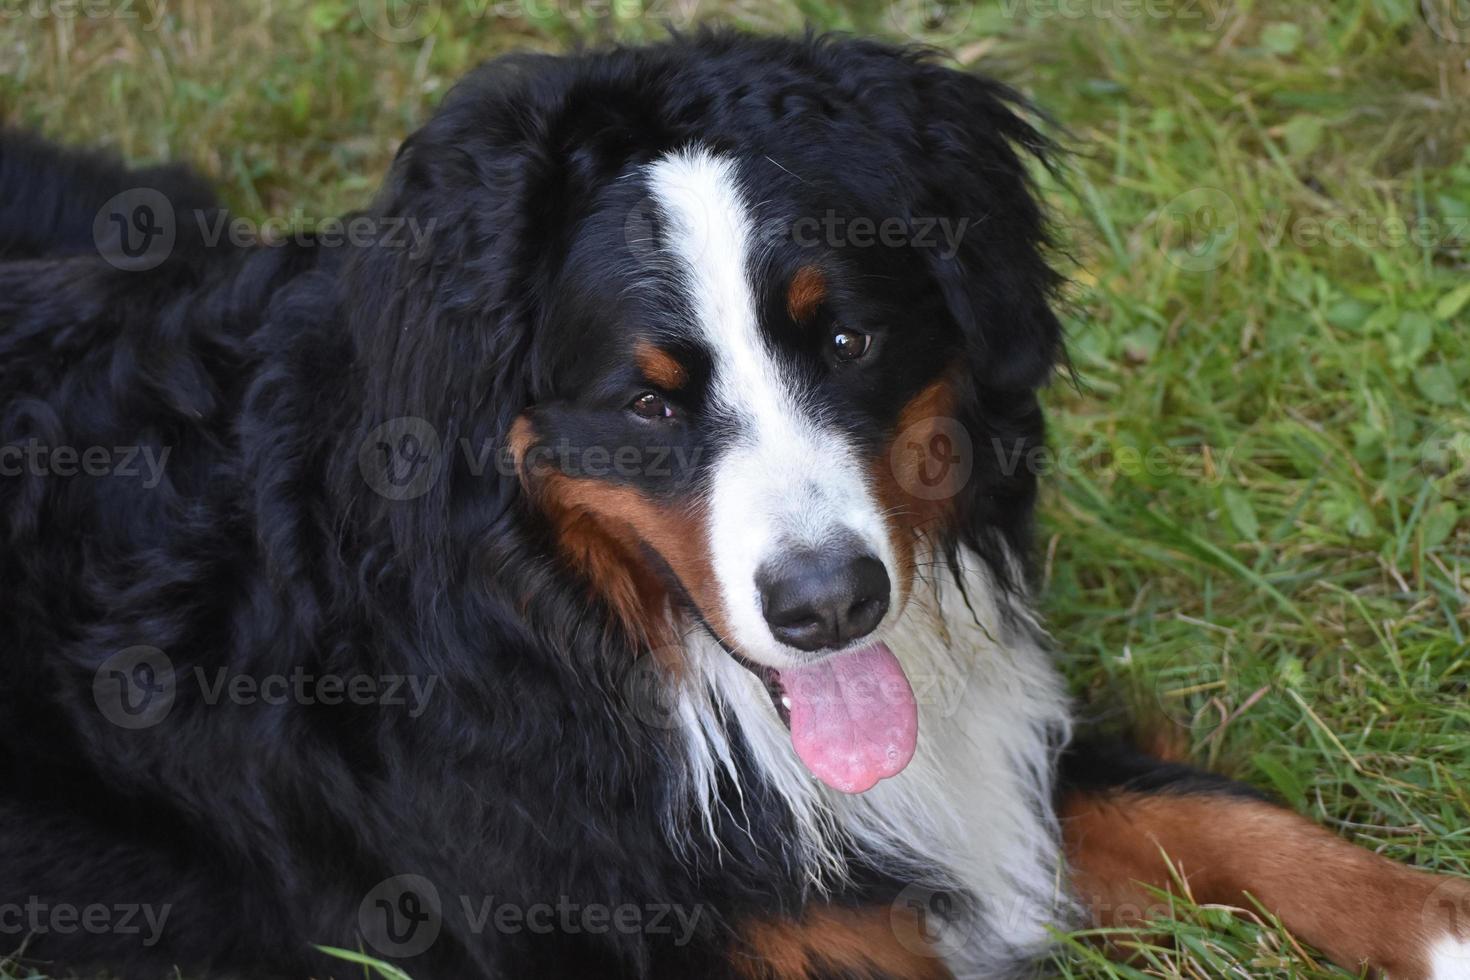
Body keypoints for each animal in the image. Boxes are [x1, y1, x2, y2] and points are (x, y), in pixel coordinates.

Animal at [0, 26, 1464, 980]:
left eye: (847, 338)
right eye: (648, 402)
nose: (828, 605)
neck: (564, 631)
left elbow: (1221, 817)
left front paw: (1439, 917)